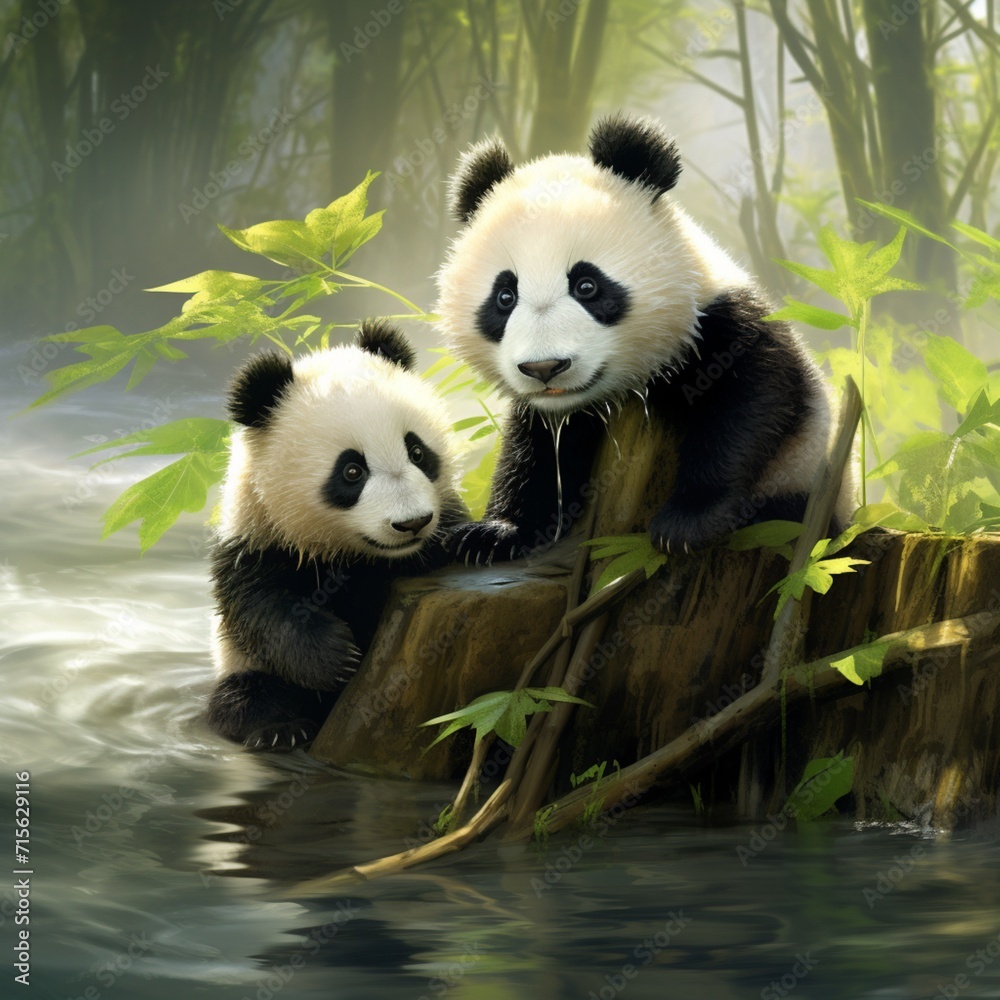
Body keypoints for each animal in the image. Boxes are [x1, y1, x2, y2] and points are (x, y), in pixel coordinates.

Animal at [207, 320, 466, 751]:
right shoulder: (256, 543)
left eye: (417, 452)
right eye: (352, 471)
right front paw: (335, 658)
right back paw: (279, 729)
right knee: (244, 695)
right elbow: (260, 610)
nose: (413, 523)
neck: (349, 554)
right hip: (237, 667)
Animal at [436, 112, 855, 563]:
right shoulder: (552, 414)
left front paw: (687, 523)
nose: (544, 367)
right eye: (505, 296)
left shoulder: (726, 329)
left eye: (587, 285)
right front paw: (495, 532)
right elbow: (536, 452)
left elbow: (748, 411)